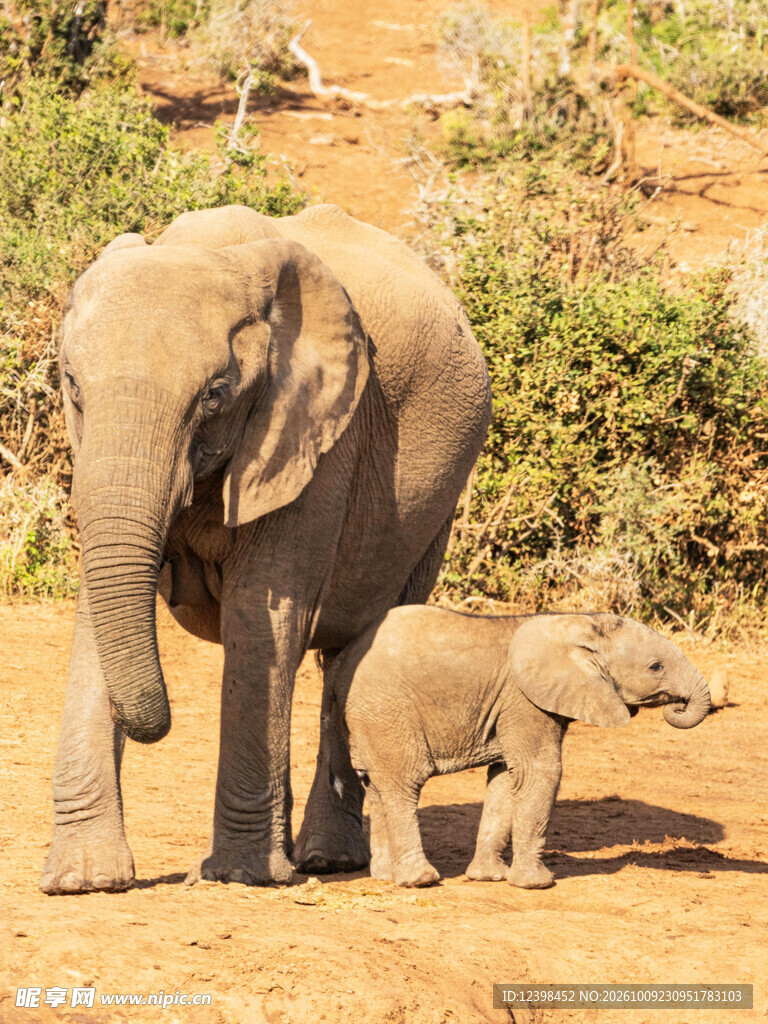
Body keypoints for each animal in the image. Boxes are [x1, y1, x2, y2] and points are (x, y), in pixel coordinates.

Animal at [40, 203, 492, 894]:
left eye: (214, 395)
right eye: (72, 385)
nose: (157, 723)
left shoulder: (320, 436)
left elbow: (262, 614)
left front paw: (240, 876)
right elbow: (98, 603)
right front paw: (83, 881)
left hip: (435, 506)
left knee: (356, 650)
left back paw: (323, 861)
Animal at [326, 607, 711, 889]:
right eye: (656, 667)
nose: (676, 706)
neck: (577, 622)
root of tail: (342, 664)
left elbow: (505, 779)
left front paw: (490, 878)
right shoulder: (525, 699)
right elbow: (539, 771)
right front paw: (537, 884)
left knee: (376, 787)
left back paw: (384, 877)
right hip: (386, 711)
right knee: (402, 784)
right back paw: (420, 881)